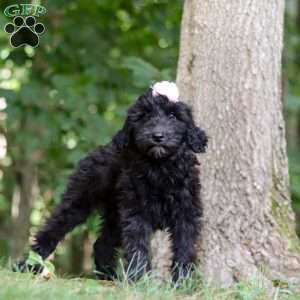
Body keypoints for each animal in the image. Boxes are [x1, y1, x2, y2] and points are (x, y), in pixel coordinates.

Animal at [31, 81, 209, 282]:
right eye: (144, 116)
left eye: (173, 116)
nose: (157, 136)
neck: (160, 168)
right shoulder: (136, 213)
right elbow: (138, 246)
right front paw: (140, 279)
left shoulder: (186, 215)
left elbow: (185, 248)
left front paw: (183, 281)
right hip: (80, 199)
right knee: (53, 228)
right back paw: (29, 263)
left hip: (115, 215)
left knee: (102, 243)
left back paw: (108, 276)